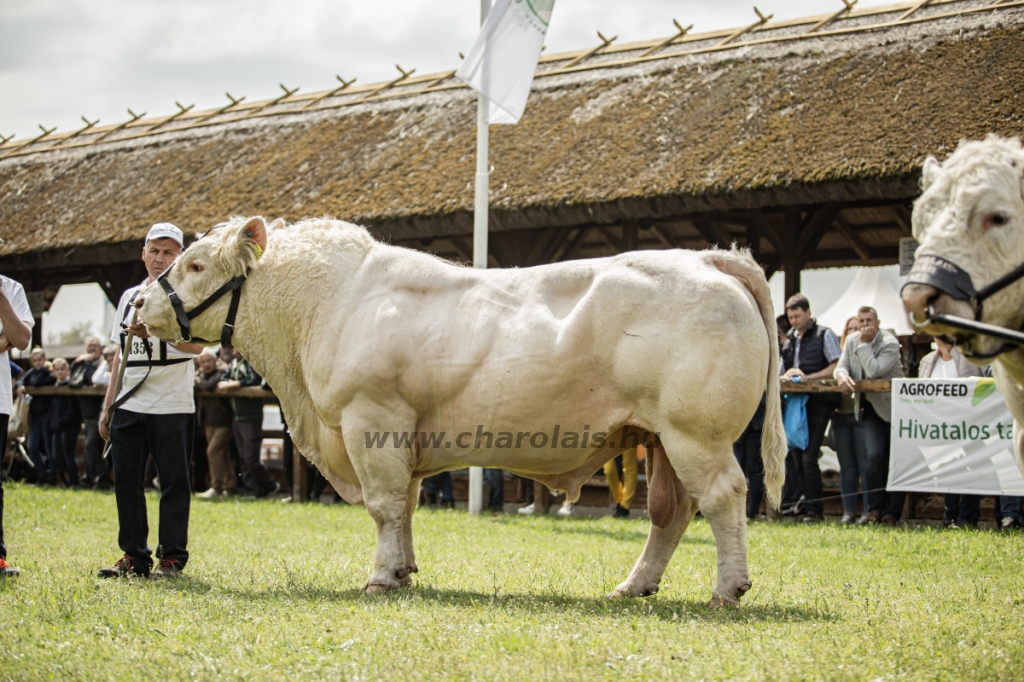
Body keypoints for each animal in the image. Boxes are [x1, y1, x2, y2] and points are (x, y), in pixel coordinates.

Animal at [134, 215, 782, 602]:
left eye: (194, 265)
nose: (138, 302)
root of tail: (707, 258)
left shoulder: (371, 419)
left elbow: (384, 505)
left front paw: (379, 577)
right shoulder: (401, 437)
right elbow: (406, 505)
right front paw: (403, 571)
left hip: (695, 432)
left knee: (723, 497)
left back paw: (728, 588)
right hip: (659, 438)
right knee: (671, 512)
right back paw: (634, 585)